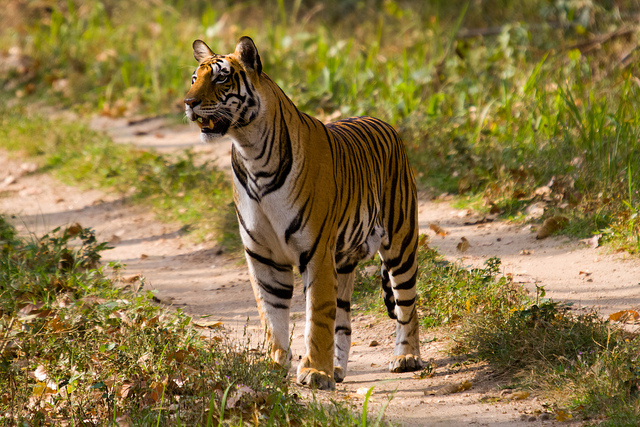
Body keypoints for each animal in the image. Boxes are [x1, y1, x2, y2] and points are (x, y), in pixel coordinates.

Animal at [184, 36, 420, 392]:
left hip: (400, 243)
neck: (250, 150)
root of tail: (385, 124)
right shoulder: (263, 255)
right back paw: (338, 369)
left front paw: (315, 372)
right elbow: (273, 315)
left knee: (408, 304)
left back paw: (406, 357)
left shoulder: (316, 252)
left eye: (221, 78)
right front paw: (275, 365)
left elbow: (317, 316)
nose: (189, 102)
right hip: (344, 260)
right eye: (194, 78)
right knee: (344, 320)